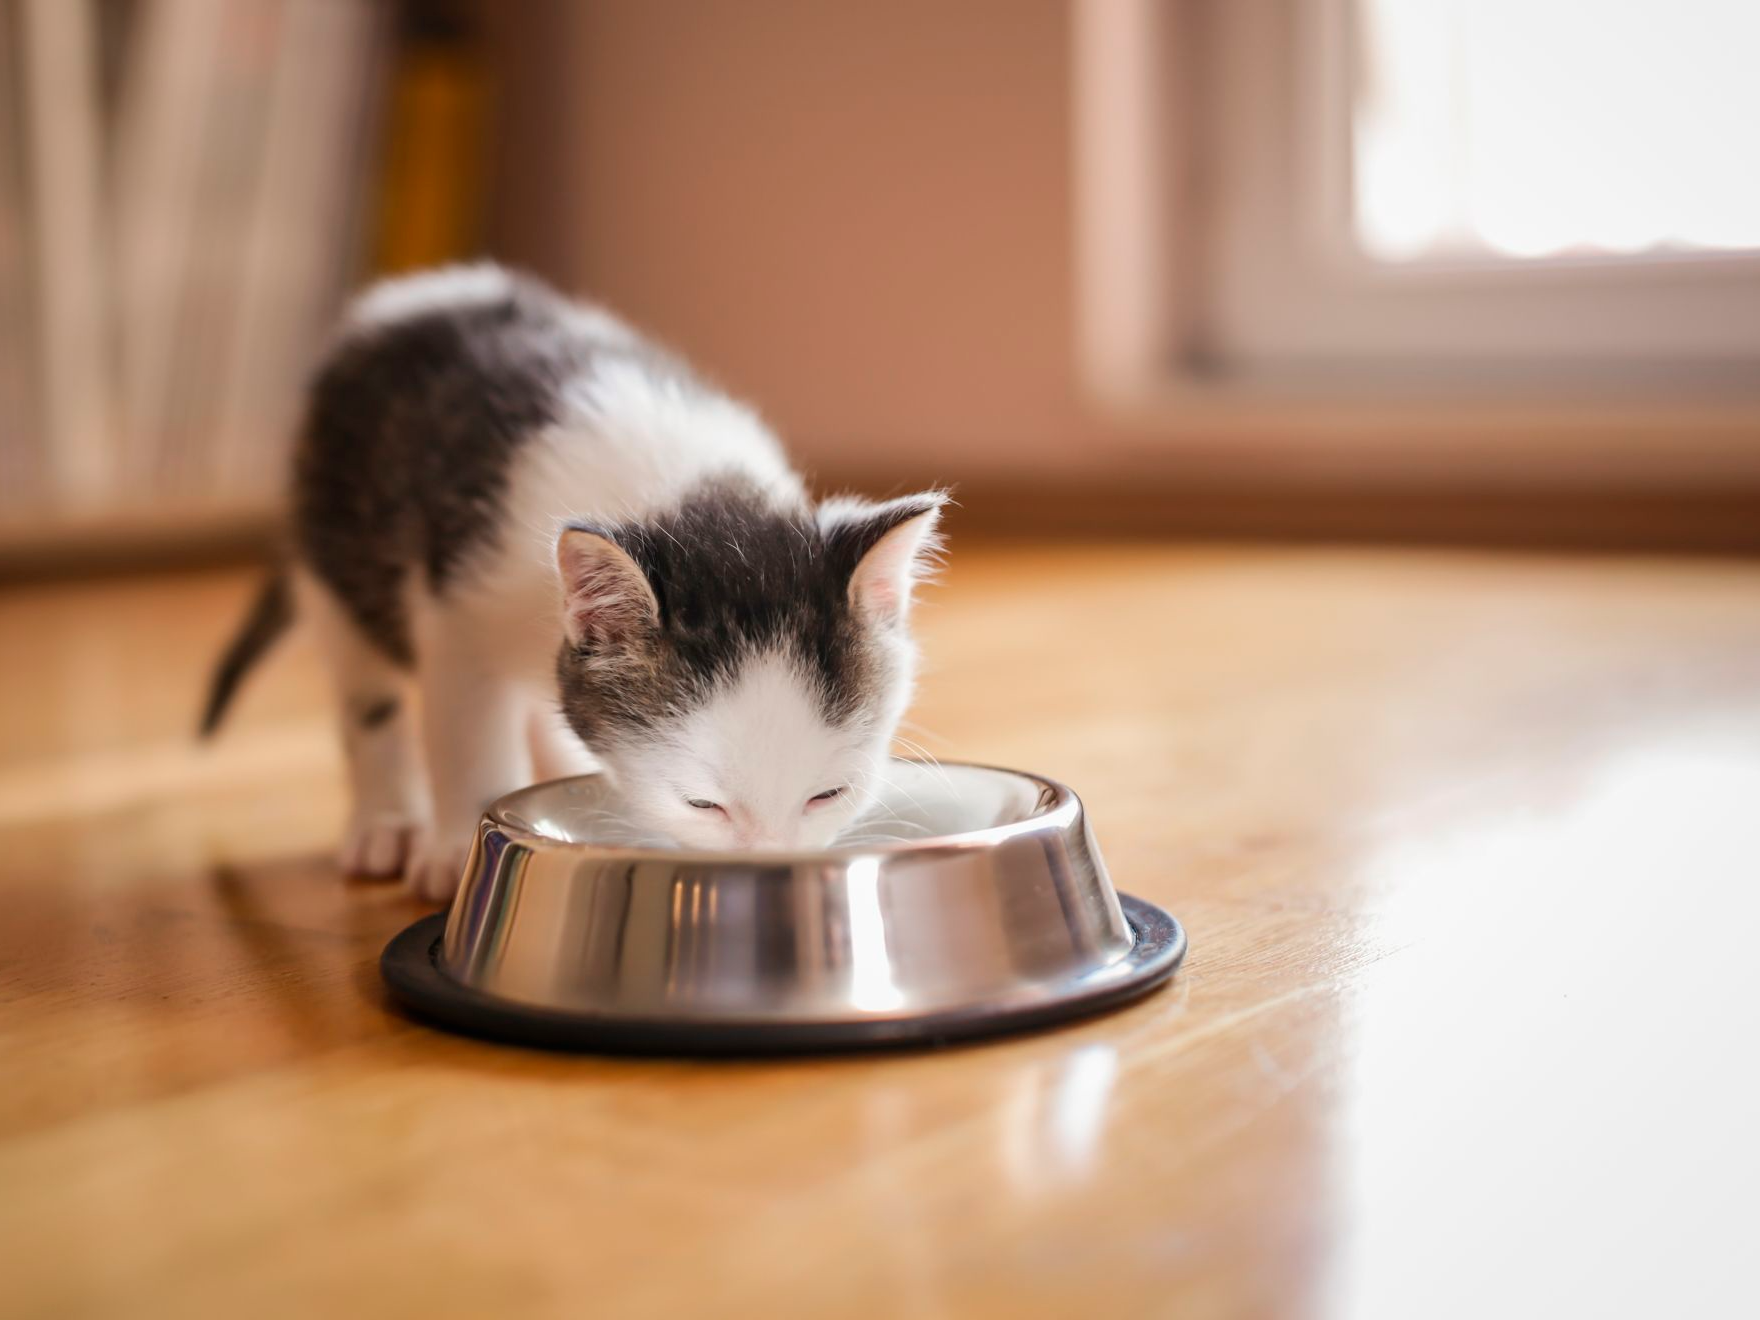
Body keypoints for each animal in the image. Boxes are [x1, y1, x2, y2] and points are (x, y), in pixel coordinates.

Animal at [202, 264, 950, 908]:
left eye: (828, 795)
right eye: (701, 804)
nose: (770, 866)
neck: (679, 490)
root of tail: (414, 293)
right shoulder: (455, 609)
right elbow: (466, 733)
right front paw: (457, 847)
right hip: (334, 546)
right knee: (367, 692)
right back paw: (385, 820)